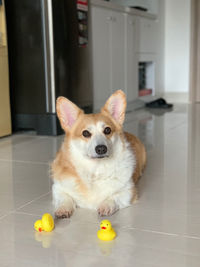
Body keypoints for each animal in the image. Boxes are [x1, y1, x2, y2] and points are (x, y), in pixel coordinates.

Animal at [50, 91, 146, 219]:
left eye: (107, 130)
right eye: (85, 133)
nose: (101, 149)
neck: (95, 169)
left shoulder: (128, 191)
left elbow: (113, 197)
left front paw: (106, 205)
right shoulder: (58, 189)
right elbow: (65, 198)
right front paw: (63, 209)